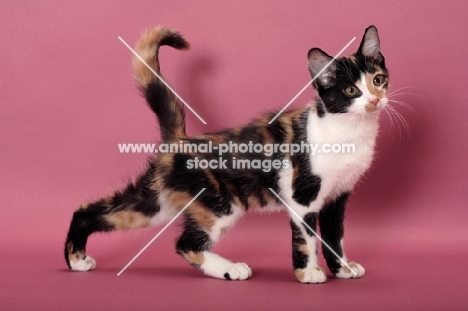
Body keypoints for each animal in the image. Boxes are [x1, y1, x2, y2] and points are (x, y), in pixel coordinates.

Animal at [64, 25, 390, 284]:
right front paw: (308, 273)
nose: (375, 100)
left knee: (94, 211)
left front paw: (343, 269)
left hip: (158, 202)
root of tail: (179, 141)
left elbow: (335, 235)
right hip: (218, 203)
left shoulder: (338, 195)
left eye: (378, 80)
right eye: (350, 91)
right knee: (186, 243)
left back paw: (77, 260)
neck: (348, 131)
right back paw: (230, 269)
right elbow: (306, 237)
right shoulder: (302, 198)